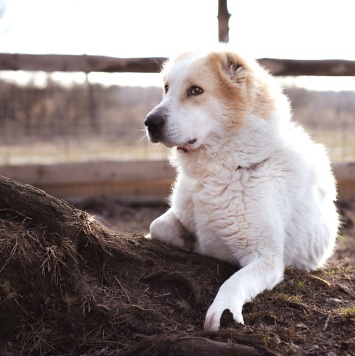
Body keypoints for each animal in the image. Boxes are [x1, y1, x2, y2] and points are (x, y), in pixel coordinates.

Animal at [144, 46, 340, 330]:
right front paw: (186, 242)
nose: (149, 122)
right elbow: (157, 226)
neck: (230, 169)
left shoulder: (266, 258)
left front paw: (224, 309)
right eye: (166, 88)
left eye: (195, 90)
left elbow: (235, 281)